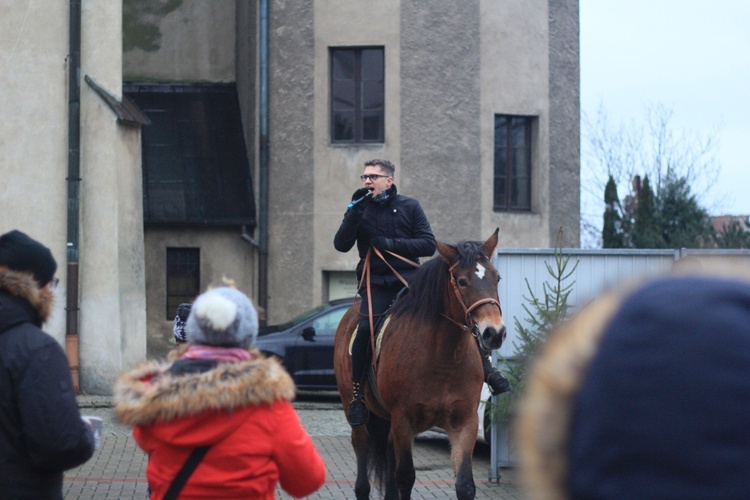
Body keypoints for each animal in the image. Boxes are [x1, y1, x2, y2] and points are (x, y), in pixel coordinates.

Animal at [336, 229, 508, 498]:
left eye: (497, 278)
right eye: (461, 281)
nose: (494, 332)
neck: (442, 358)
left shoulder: (465, 421)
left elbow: (465, 484)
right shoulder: (404, 421)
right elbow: (406, 478)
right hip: (355, 411)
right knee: (362, 457)